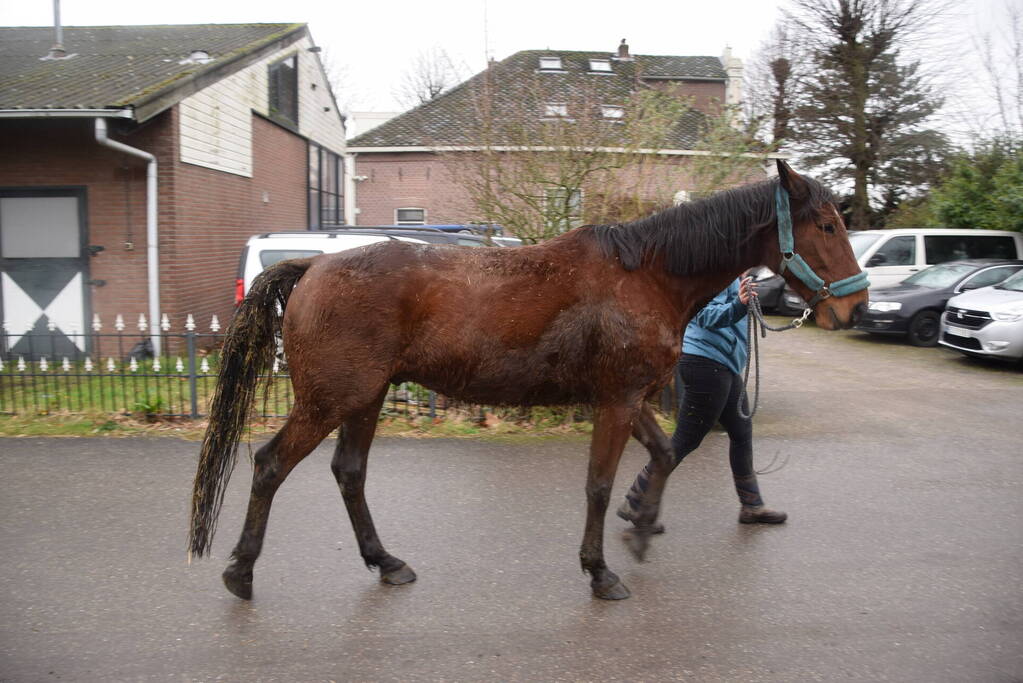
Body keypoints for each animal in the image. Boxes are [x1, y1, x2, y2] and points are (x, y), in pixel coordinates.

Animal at [188, 160, 868, 601]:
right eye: (827, 225)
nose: (855, 308)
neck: (647, 275)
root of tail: (312, 267)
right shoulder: (617, 401)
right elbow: (598, 485)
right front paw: (601, 571)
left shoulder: (629, 398)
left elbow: (666, 454)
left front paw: (642, 527)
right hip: (332, 399)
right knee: (271, 464)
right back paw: (241, 572)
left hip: (366, 397)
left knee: (349, 473)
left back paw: (386, 562)